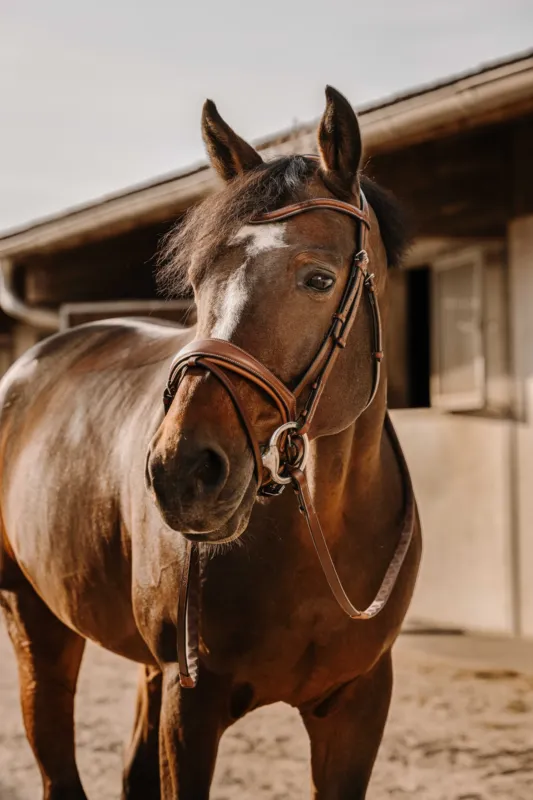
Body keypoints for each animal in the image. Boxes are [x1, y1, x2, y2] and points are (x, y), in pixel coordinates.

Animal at [0, 85, 421, 799]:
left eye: (318, 278)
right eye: (198, 282)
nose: (182, 471)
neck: (325, 529)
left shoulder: (360, 703)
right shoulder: (191, 702)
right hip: (36, 623)